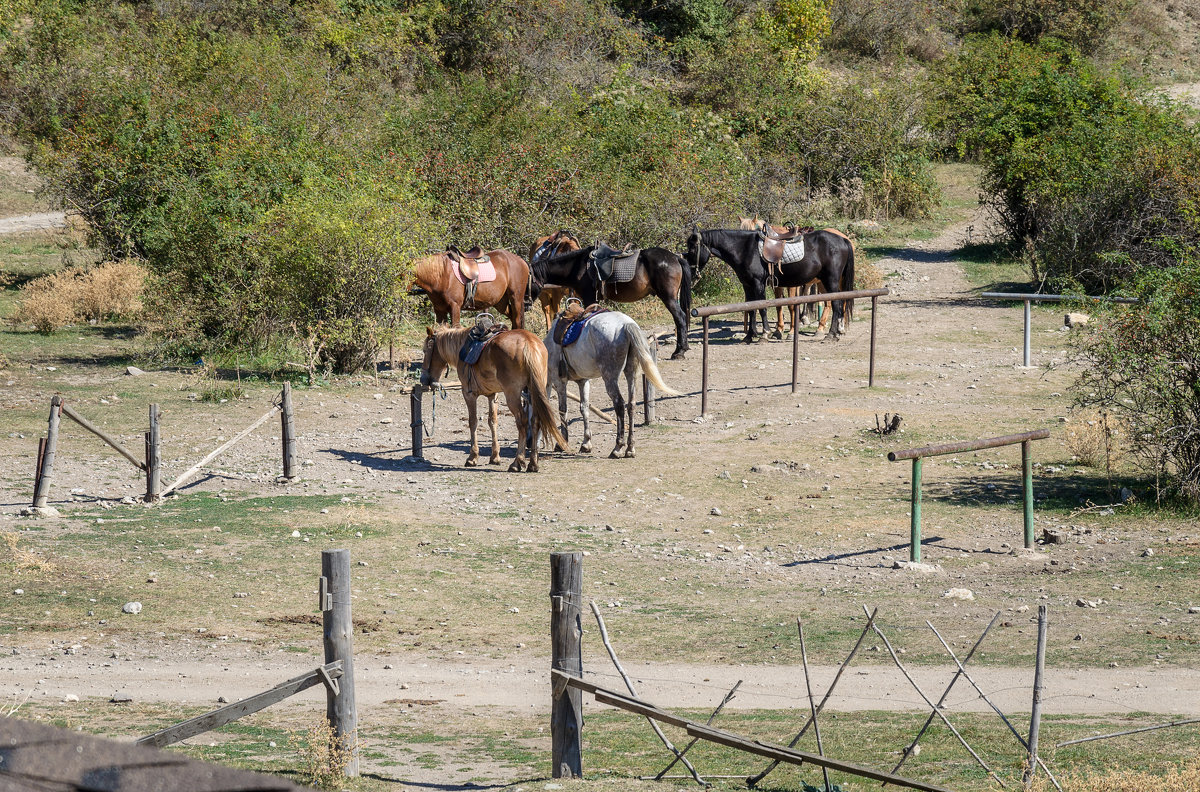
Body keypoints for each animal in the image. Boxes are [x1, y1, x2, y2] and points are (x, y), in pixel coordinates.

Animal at [417, 324, 566, 470]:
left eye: (425, 350)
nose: (423, 379)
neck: (462, 347)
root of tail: (529, 343)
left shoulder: (469, 394)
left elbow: (473, 422)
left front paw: (473, 457)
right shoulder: (493, 395)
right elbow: (493, 422)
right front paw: (495, 457)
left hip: (513, 395)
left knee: (523, 422)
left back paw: (517, 462)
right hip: (534, 391)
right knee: (535, 420)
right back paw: (533, 464)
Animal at [528, 246, 696, 360]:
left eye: (527, 279)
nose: (526, 304)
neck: (578, 267)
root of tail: (675, 258)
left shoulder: (590, 298)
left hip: (668, 298)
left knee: (680, 318)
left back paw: (679, 352)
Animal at [547, 306, 681, 460]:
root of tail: (627, 325)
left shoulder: (559, 382)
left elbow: (563, 410)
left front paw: (562, 443)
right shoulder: (583, 381)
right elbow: (584, 408)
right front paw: (586, 443)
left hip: (610, 377)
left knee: (619, 404)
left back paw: (618, 447)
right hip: (631, 373)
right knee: (631, 404)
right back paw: (630, 448)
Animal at [686, 226, 854, 340]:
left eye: (692, 249)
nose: (691, 275)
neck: (744, 249)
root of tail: (844, 240)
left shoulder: (758, 284)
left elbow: (762, 308)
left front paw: (764, 334)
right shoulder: (748, 286)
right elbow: (752, 308)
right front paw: (749, 336)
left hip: (831, 281)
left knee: (836, 304)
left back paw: (831, 334)